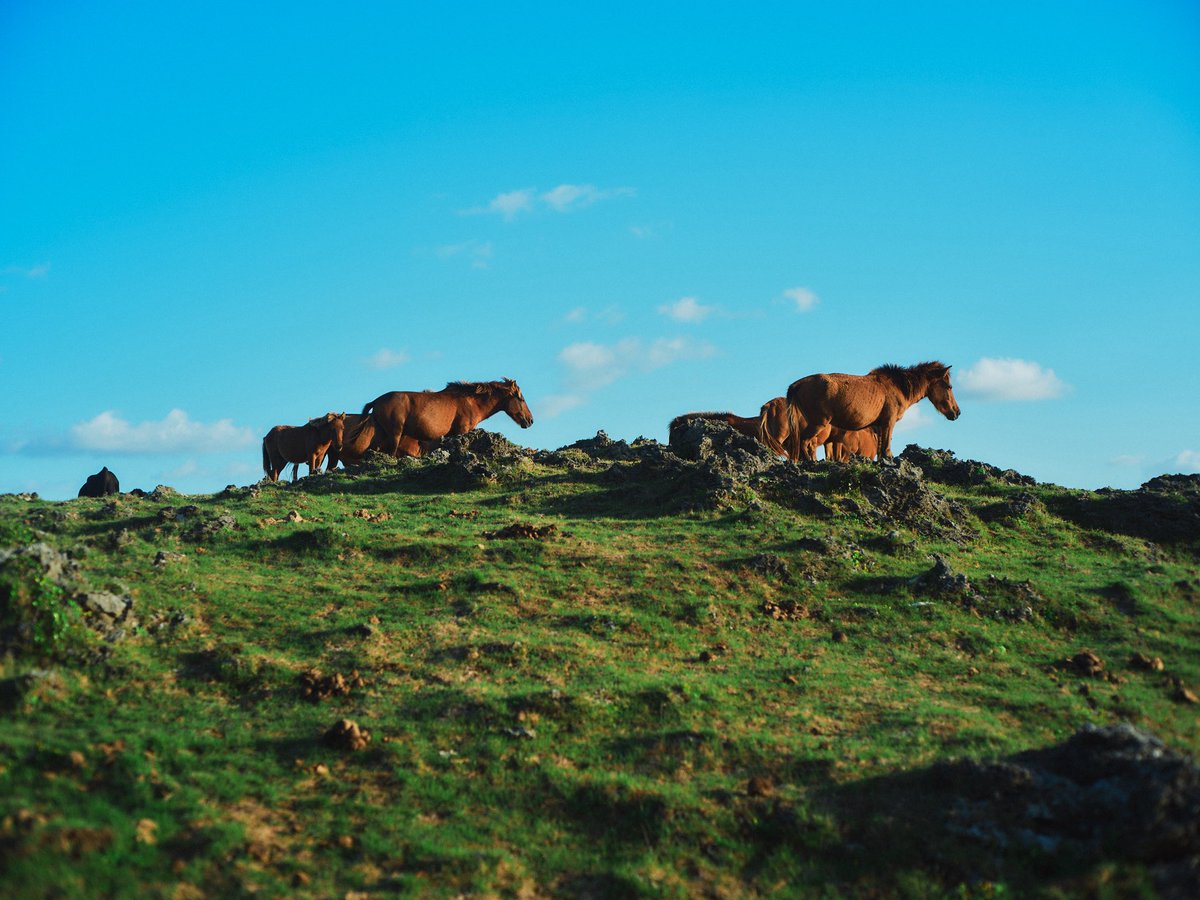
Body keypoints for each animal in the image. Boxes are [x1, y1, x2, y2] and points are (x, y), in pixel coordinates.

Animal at [361, 378, 533, 457]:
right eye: (521, 399)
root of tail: (376, 401)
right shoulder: (462, 431)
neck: (471, 401)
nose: (530, 420)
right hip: (394, 434)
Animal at [786, 361, 960, 461]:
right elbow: (886, 448)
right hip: (818, 423)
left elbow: (880, 450)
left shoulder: (878, 426)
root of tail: (797, 384)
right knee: (803, 442)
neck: (898, 387)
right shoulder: (888, 422)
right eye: (949, 386)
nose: (956, 412)